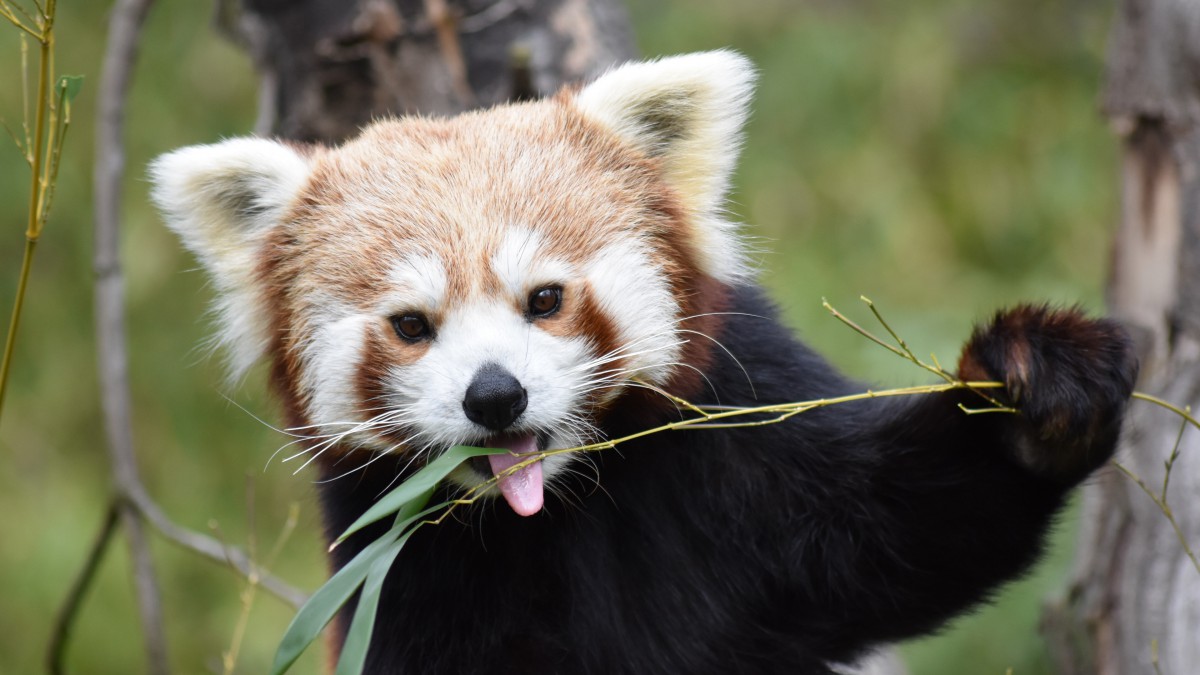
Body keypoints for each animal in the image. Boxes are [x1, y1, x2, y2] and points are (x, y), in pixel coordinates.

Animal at [154, 49, 1137, 667]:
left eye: (545, 299)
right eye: (411, 324)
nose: (494, 397)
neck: (560, 507)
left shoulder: (740, 435)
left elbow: (896, 532)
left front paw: (1039, 392)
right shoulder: (400, 567)